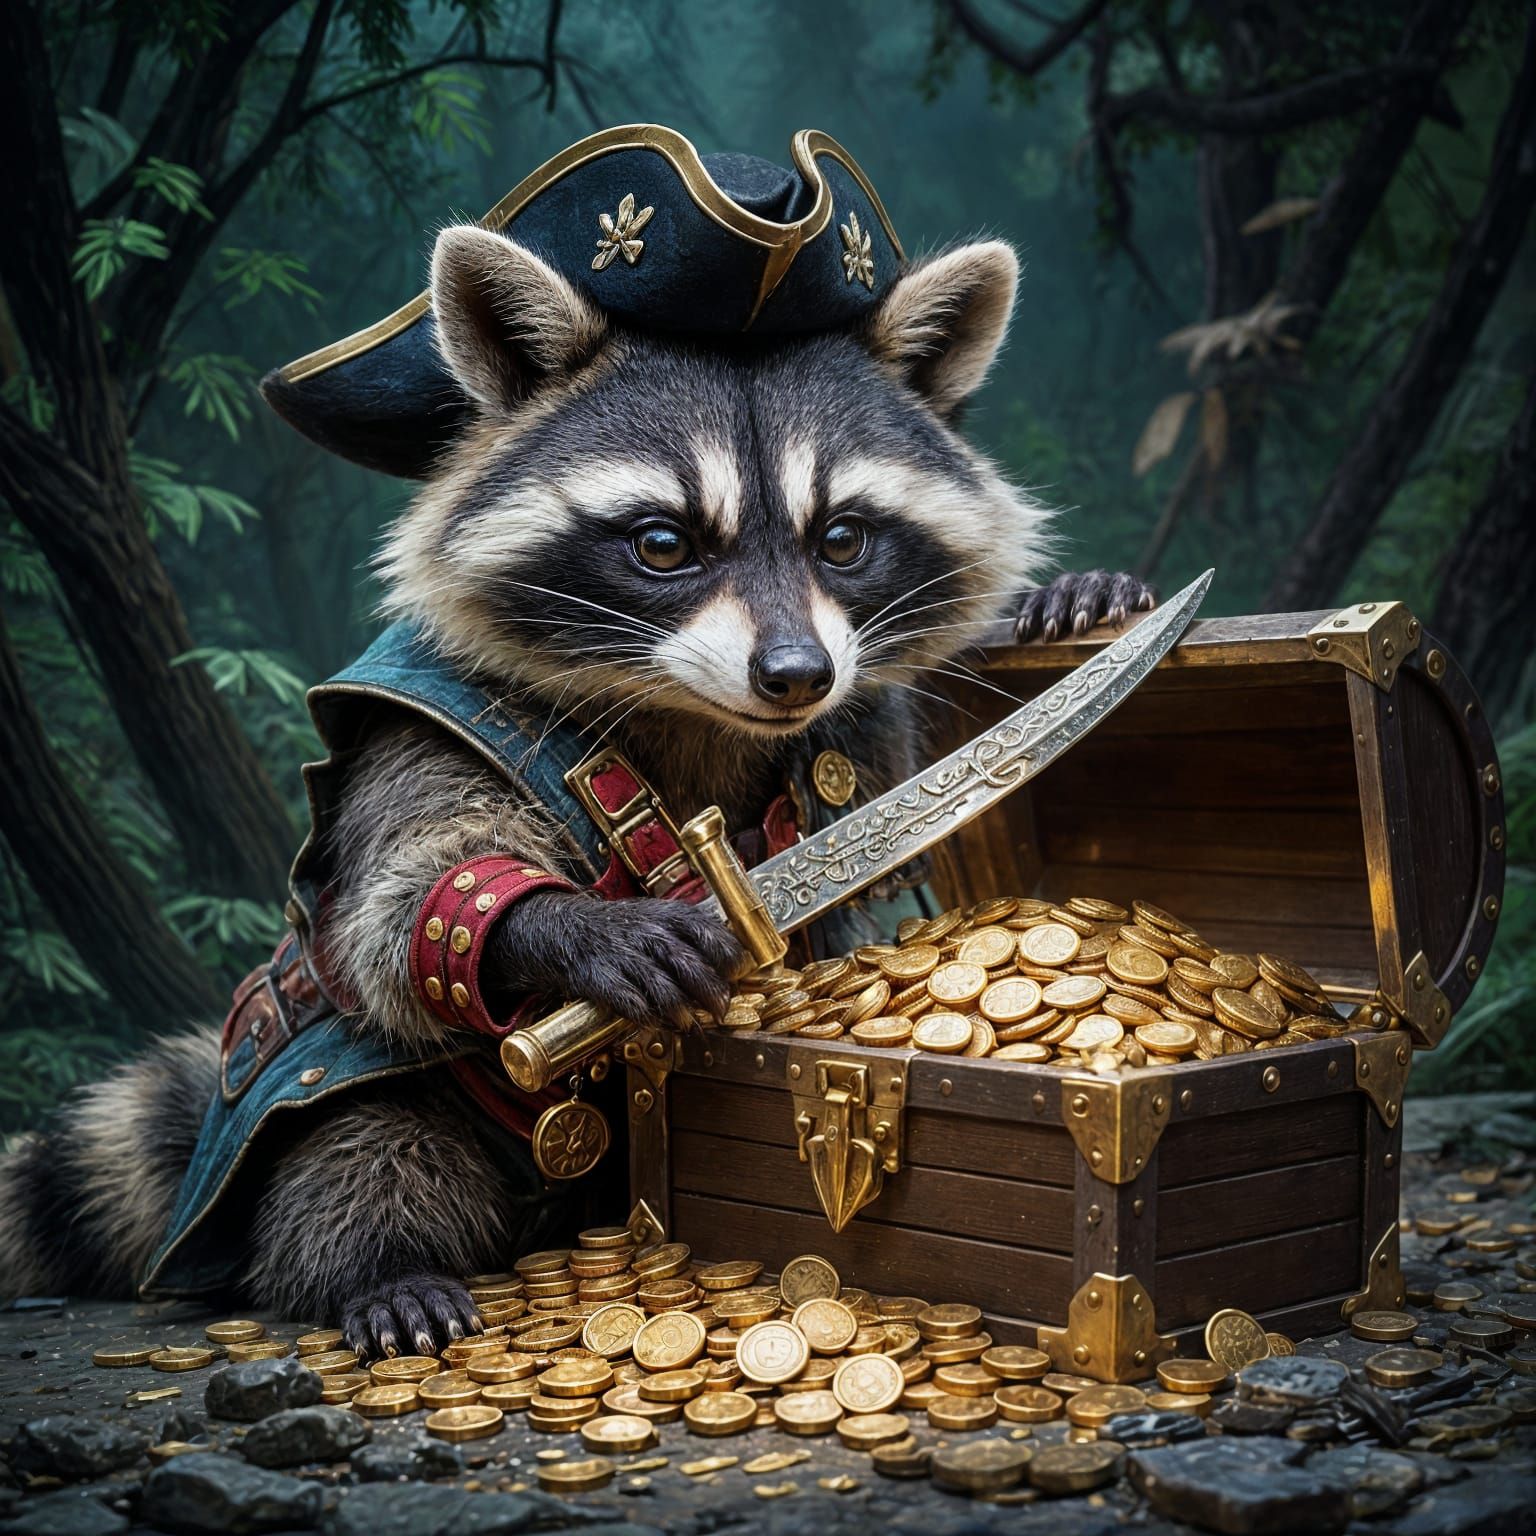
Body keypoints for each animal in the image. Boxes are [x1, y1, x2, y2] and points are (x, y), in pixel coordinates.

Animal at [0, 225, 1151, 1358]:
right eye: (664, 543)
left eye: (843, 539)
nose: (795, 675)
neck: (700, 713)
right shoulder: (422, 720)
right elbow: (400, 894)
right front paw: (563, 926)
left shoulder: (849, 725)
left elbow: (899, 772)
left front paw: (1063, 600)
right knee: (362, 1150)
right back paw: (376, 1268)